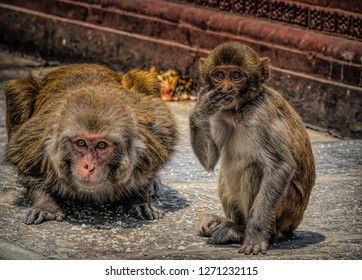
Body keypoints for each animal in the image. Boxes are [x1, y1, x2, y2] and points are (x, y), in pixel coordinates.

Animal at [2, 64, 178, 225]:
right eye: (81, 143)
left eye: (101, 145)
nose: (89, 166)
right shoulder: (37, 142)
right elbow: (27, 165)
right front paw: (45, 204)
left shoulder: (153, 138)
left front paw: (137, 199)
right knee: (19, 90)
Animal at [191, 42, 316, 256]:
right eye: (219, 75)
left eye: (236, 76)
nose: (226, 87)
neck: (240, 109)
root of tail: (296, 221)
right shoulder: (220, 113)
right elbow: (210, 161)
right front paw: (200, 109)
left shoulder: (263, 115)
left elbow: (280, 167)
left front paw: (255, 235)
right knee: (225, 171)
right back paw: (226, 222)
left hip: (289, 212)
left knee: (254, 170)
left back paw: (243, 230)